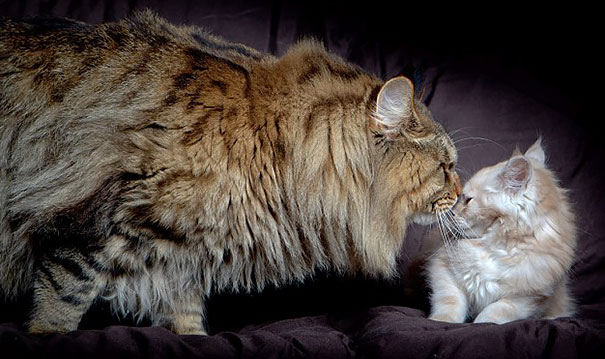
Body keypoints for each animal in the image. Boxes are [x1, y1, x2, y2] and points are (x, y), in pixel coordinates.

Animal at [0, 11, 460, 338]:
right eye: (446, 168)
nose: (461, 193)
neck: (276, 143)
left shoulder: (179, 256)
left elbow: (184, 314)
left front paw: (192, 338)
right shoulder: (94, 228)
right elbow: (62, 299)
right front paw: (47, 335)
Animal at [424, 139, 576, 324]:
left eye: (468, 200)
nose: (451, 212)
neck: (493, 246)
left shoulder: (526, 298)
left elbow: (495, 312)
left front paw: (481, 323)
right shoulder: (444, 271)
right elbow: (450, 302)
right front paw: (440, 321)